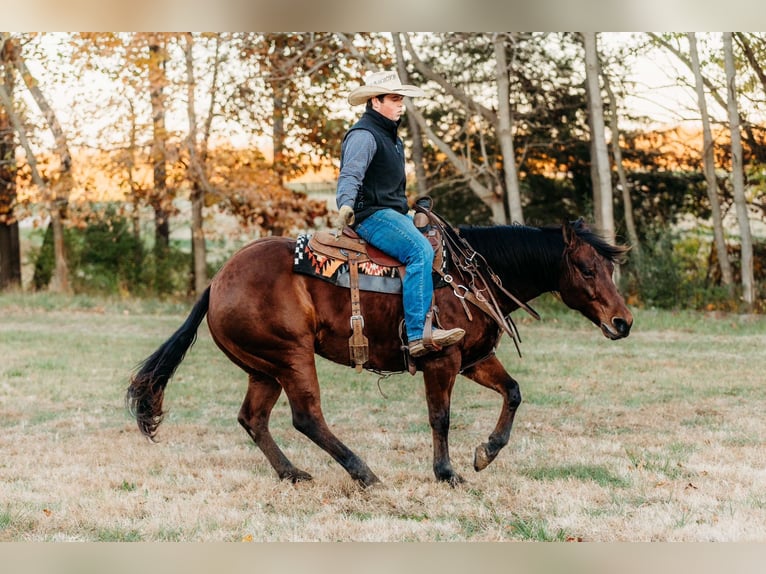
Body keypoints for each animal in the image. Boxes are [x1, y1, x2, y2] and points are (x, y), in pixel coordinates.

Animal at [126, 218, 632, 488]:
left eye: (608, 266)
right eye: (586, 268)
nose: (622, 322)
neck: (466, 276)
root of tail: (217, 282)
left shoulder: (473, 359)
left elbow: (513, 392)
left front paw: (485, 453)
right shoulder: (442, 362)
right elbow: (440, 418)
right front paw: (446, 472)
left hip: (264, 368)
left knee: (253, 419)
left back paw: (293, 473)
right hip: (292, 358)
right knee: (306, 418)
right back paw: (363, 473)